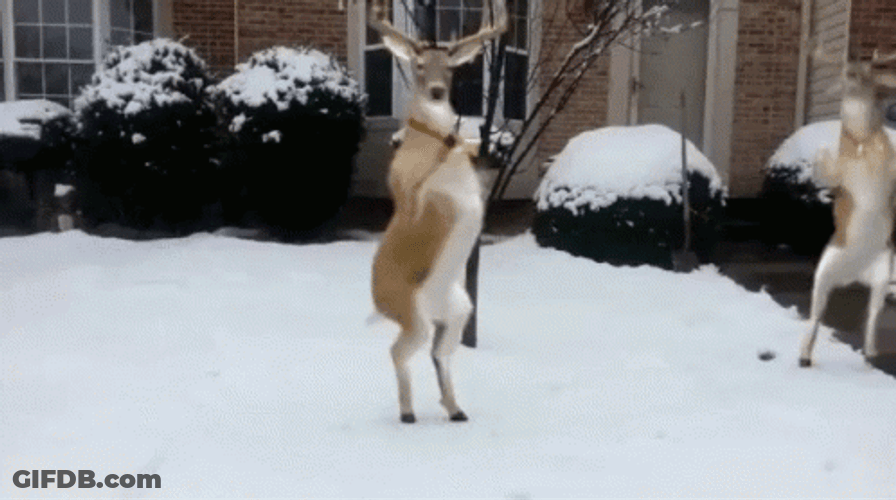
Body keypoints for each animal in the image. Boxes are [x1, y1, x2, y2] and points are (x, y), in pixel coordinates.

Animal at [368, 0, 507, 423]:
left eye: (450, 67)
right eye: (416, 64)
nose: (435, 91)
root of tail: (376, 300)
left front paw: (490, 147)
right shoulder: (408, 190)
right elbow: (417, 190)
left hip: (458, 310)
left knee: (438, 353)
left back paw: (455, 407)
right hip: (411, 314)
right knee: (399, 351)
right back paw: (408, 412)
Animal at [799, 46, 896, 367]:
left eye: (868, 70)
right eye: (847, 72)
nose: (853, 63)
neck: (863, 133)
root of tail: (855, 274)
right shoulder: (841, 171)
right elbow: (828, 162)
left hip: (881, 278)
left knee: (871, 320)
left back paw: (871, 351)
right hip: (823, 276)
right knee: (814, 320)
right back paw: (804, 355)